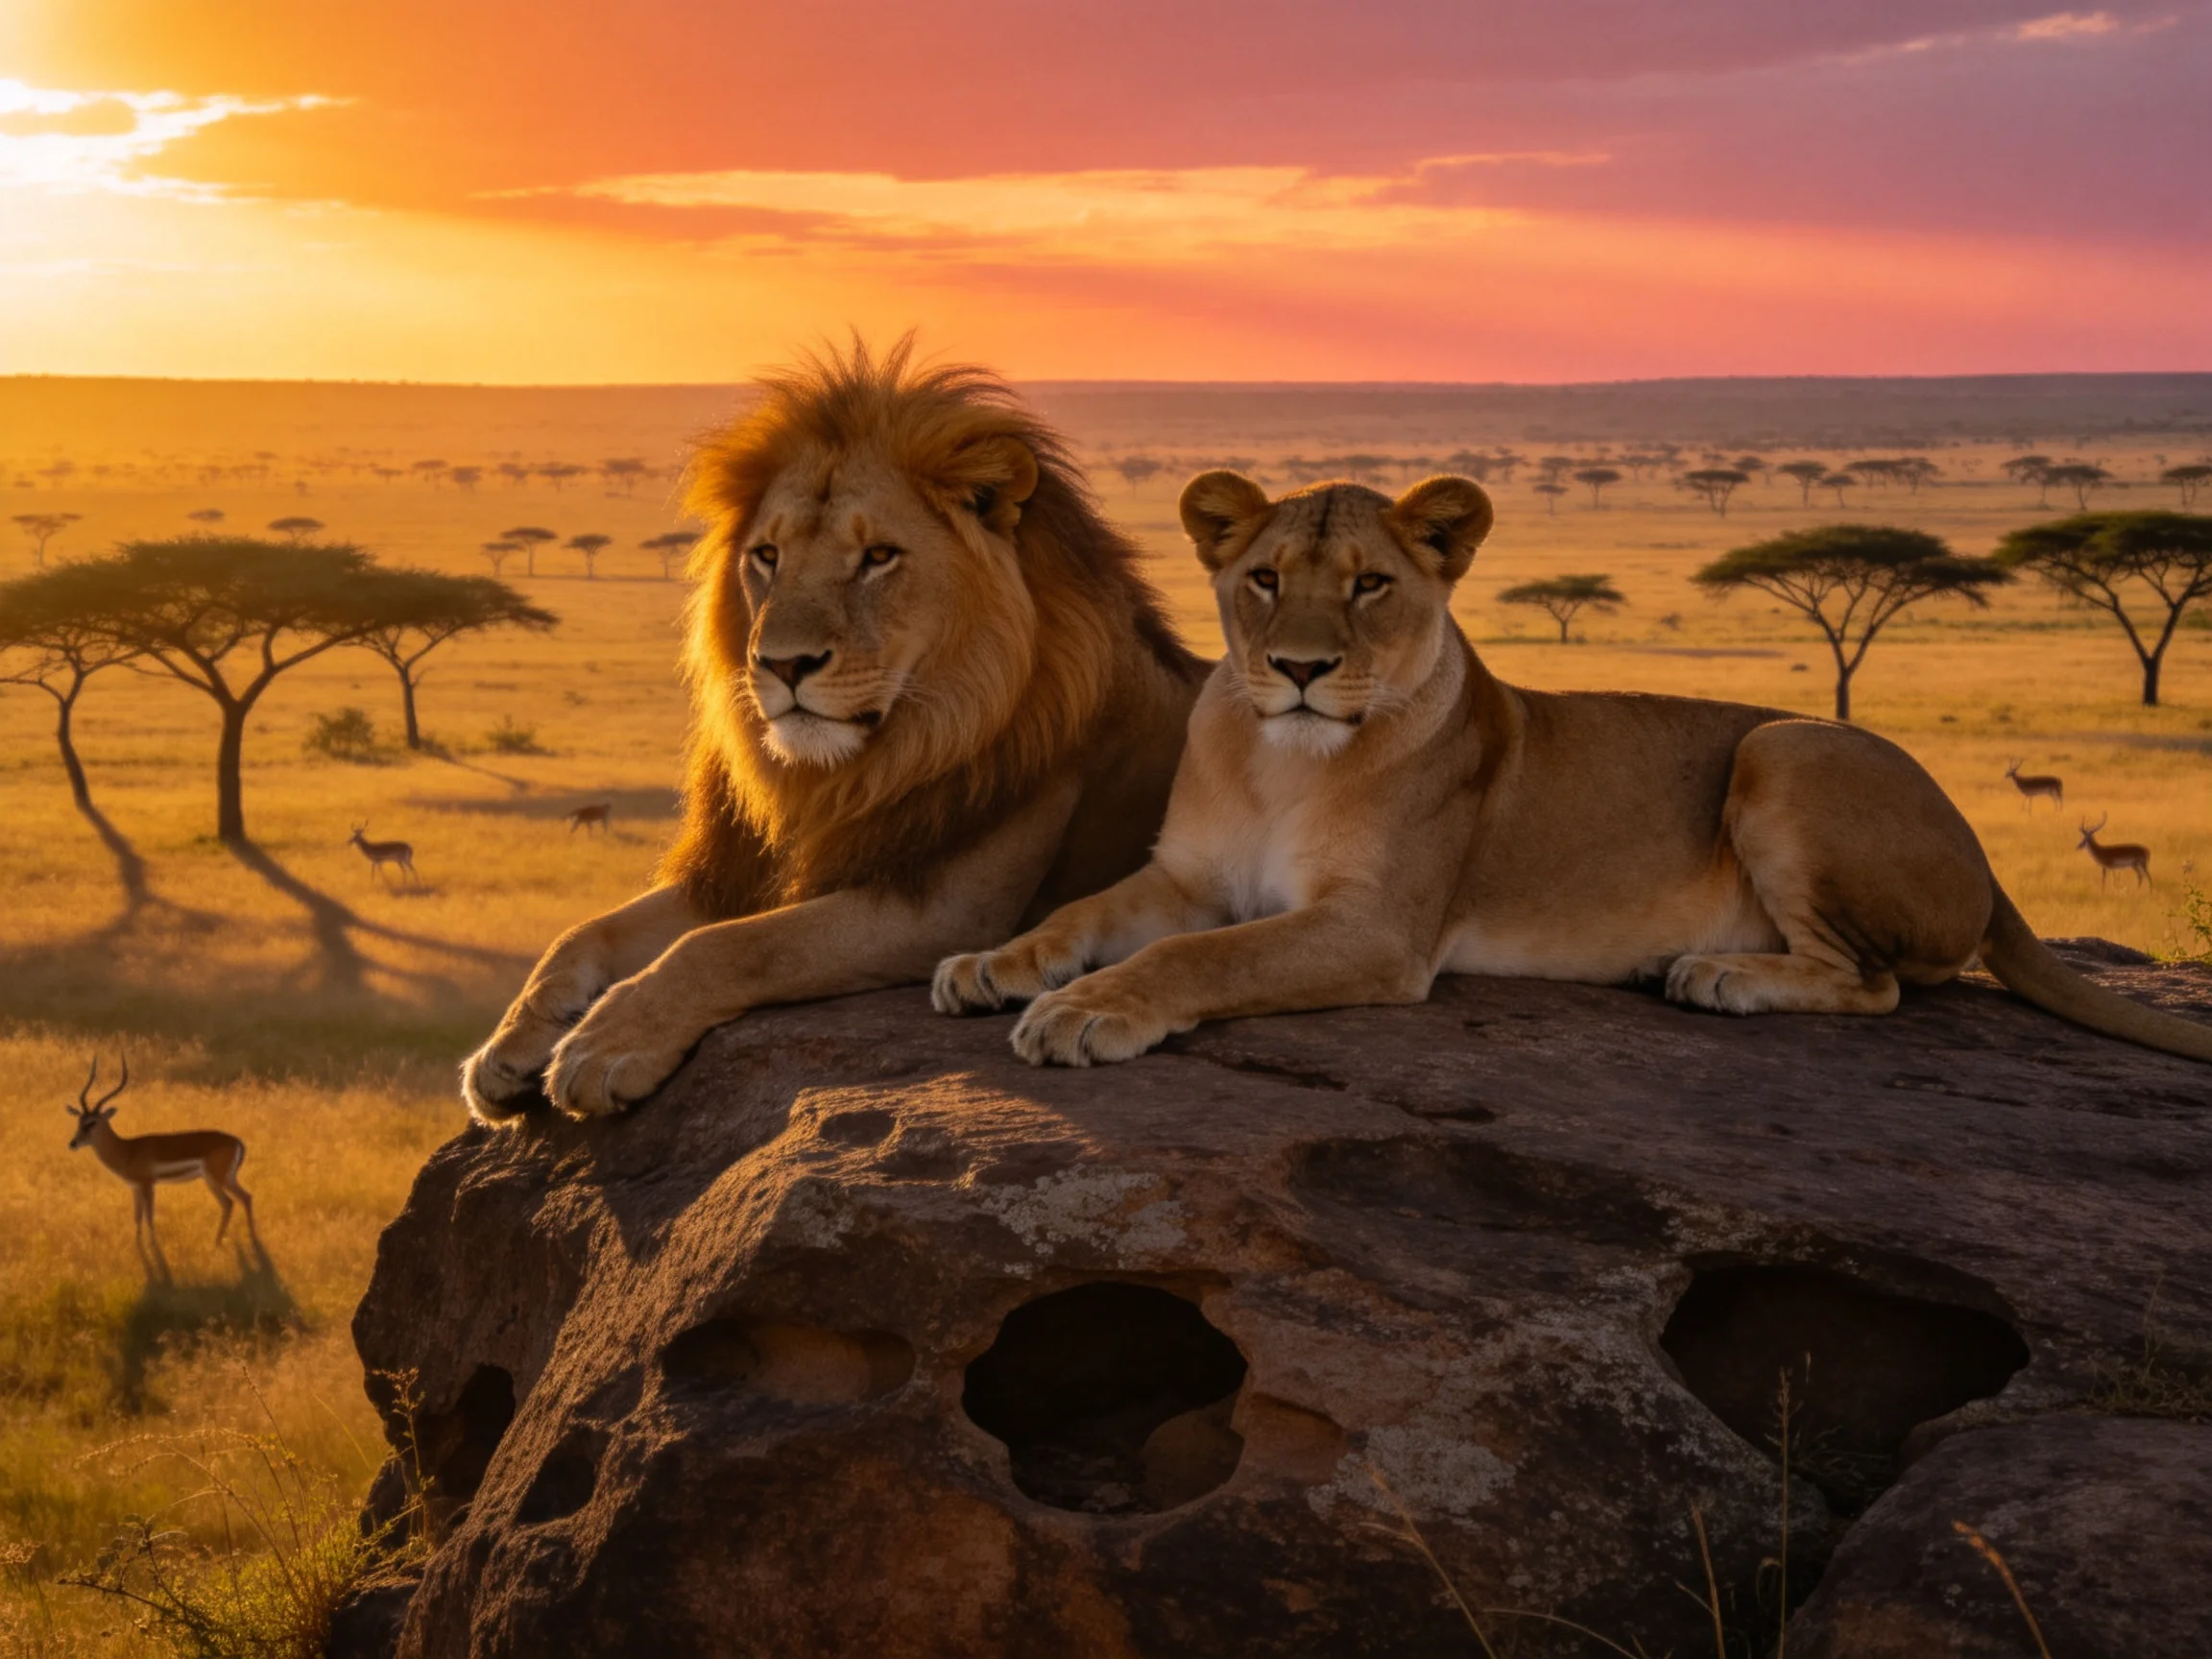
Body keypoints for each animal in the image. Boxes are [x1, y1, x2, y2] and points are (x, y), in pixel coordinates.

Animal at [462, 341, 1205, 1120]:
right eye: (767, 556)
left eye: (878, 556)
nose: (783, 664)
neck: (855, 771)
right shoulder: (743, 871)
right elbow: (584, 933)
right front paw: (511, 1042)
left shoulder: (948, 911)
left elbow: (732, 946)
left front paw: (607, 1044)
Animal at [933, 470, 2212, 1068]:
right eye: (1263, 579)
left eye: (1370, 585)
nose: (1298, 667)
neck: (1279, 756)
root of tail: (1986, 861)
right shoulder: (1189, 875)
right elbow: (1085, 912)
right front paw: (995, 963)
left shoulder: (1377, 932)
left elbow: (1199, 958)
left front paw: (1086, 1011)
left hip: (1784, 746)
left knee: (1878, 983)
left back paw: (1717, 974)